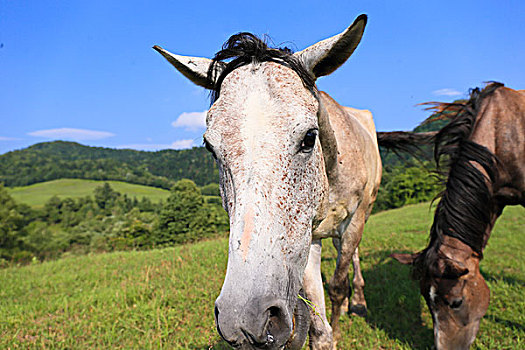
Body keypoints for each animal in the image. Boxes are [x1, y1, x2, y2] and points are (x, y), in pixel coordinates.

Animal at [156, 13, 380, 348]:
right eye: (210, 147)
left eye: (309, 137)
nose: (246, 321)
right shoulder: (307, 239)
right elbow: (319, 326)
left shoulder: (353, 220)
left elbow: (339, 284)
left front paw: (344, 319)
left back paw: (359, 301)